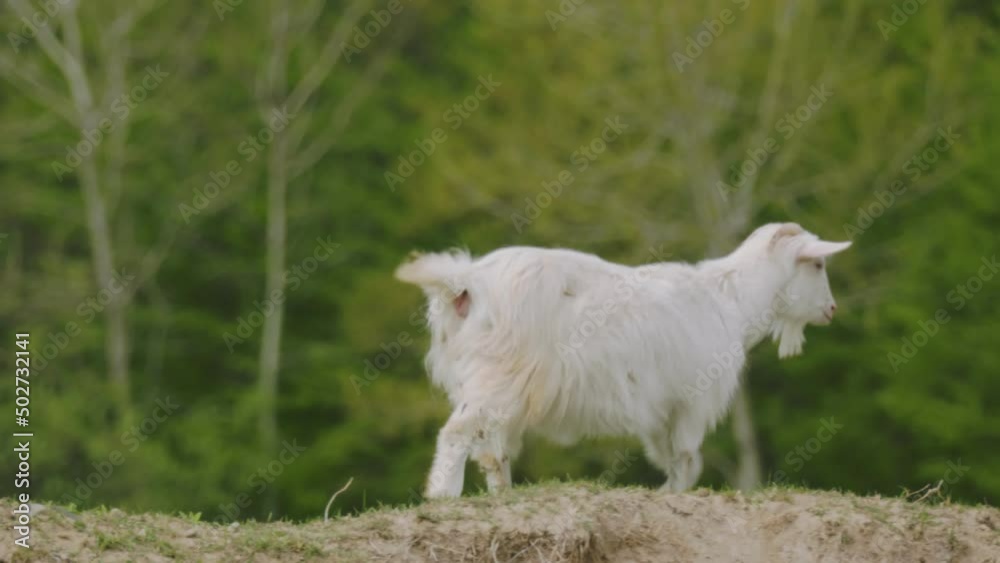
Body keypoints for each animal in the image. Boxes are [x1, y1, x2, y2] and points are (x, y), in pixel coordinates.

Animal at [395, 222, 851, 498]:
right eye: (818, 263)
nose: (832, 309)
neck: (730, 301)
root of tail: (465, 282)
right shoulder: (691, 401)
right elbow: (688, 461)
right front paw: (675, 495)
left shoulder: (663, 410)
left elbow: (673, 460)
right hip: (497, 377)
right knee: (457, 433)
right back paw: (443, 495)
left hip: (485, 382)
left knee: (490, 448)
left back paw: (502, 493)